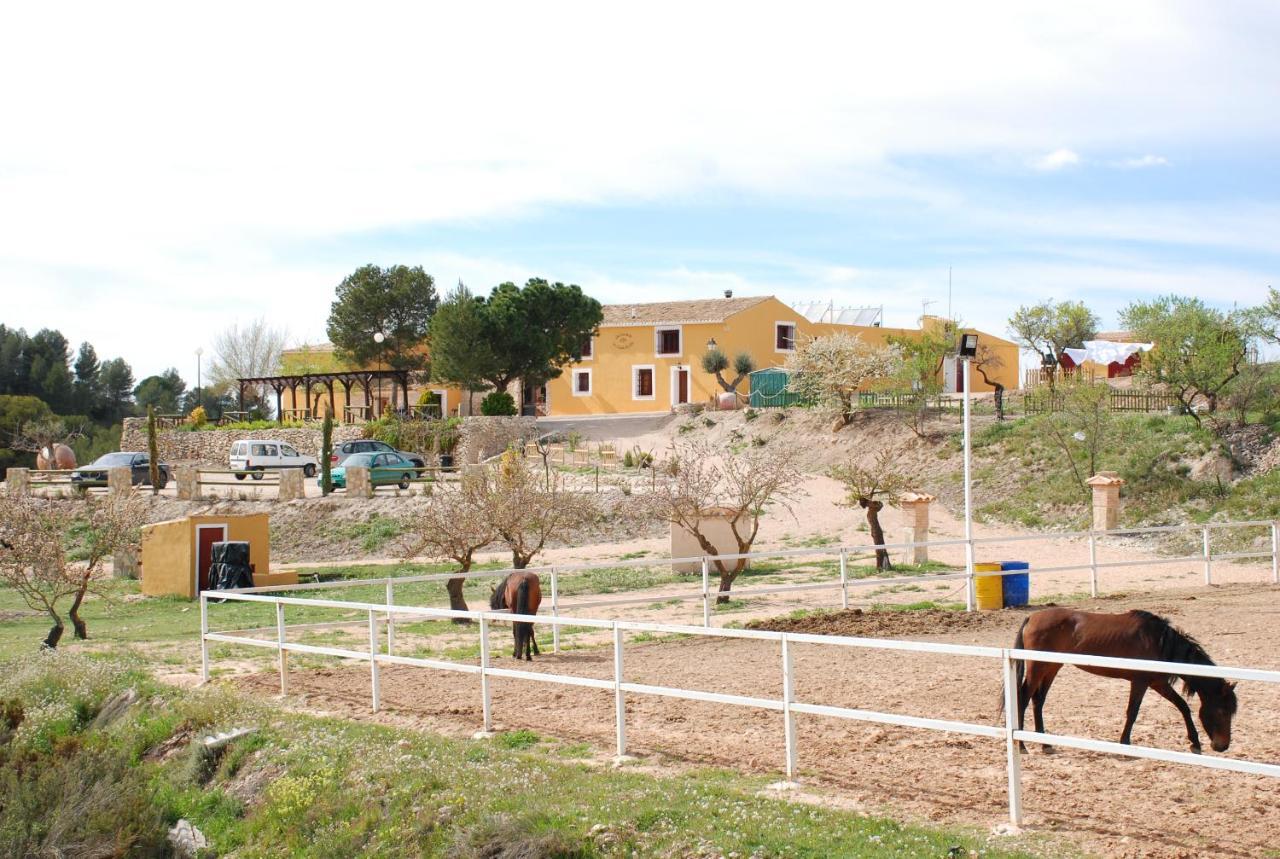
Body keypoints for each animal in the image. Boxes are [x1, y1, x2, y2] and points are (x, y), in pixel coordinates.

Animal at [1013, 609, 1233, 757]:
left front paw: (1195, 743)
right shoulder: (1140, 682)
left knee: (1038, 701)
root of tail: (1032, 617)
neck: (1159, 642)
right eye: (1222, 711)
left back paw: (1045, 744)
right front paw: (1125, 744)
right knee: (1023, 699)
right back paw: (1022, 745)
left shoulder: (1158, 683)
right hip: (1038, 668)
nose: (1223, 745)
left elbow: (1183, 706)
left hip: (1051, 667)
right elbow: (1132, 712)